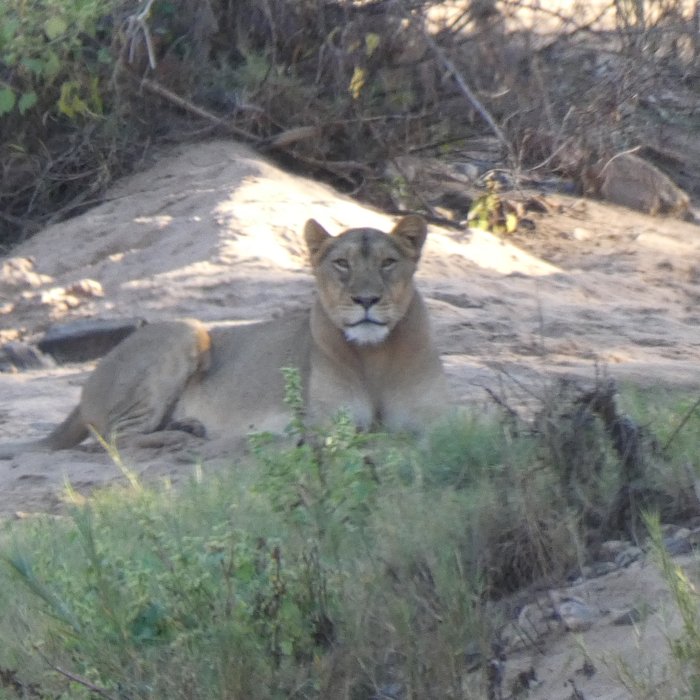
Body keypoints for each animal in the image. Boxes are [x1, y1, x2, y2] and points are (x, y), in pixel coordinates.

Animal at [0, 215, 449, 458]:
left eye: (388, 263)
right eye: (342, 264)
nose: (366, 300)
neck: (375, 354)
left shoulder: (435, 416)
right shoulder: (322, 425)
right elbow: (363, 434)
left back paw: (187, 428)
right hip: (187, 329)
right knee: (113, 439)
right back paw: (184, 438)